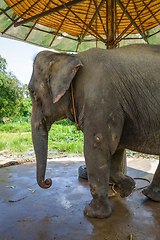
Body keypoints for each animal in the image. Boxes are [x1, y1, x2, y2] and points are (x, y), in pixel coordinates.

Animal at [28, 44, 160, 219]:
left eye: (32, 92)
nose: (48, 181)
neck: (69, 56)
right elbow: (115, 149)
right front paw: (128, 189)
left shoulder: (100, 99)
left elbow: (97, 147)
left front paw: (92, 214)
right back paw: (150, 196)